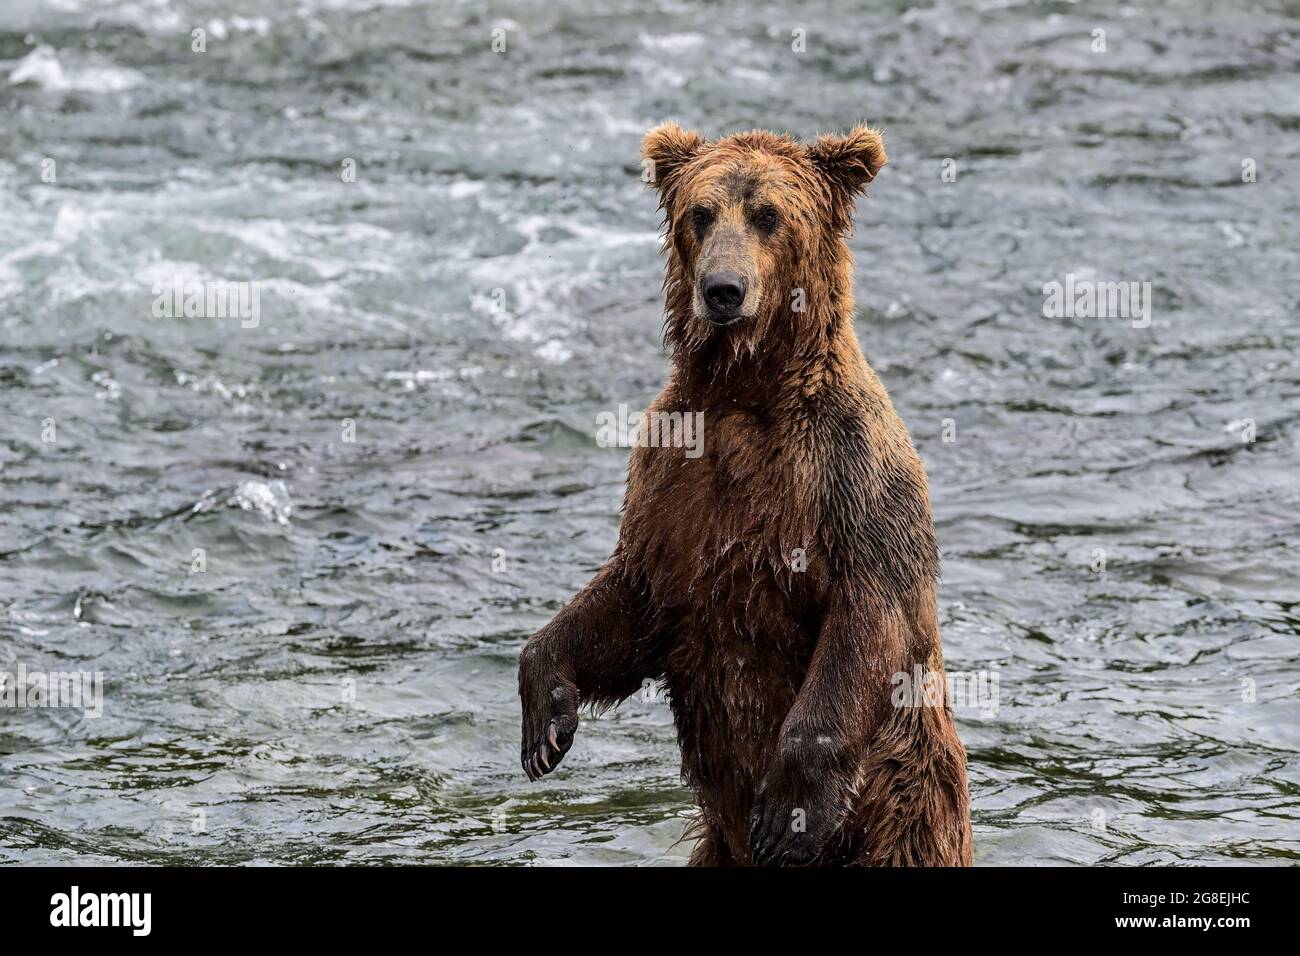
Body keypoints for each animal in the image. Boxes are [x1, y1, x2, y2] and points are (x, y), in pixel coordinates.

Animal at [517, 121, 977, 868]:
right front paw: (546, 719)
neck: (745, 394)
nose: (723, 289)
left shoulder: (848, 475)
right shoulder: (672, 480)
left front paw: (789, 811)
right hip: (717, 850)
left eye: (768, 215)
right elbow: (633, 597)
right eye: (700, 214)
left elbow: (870, 616)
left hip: (907, 814)